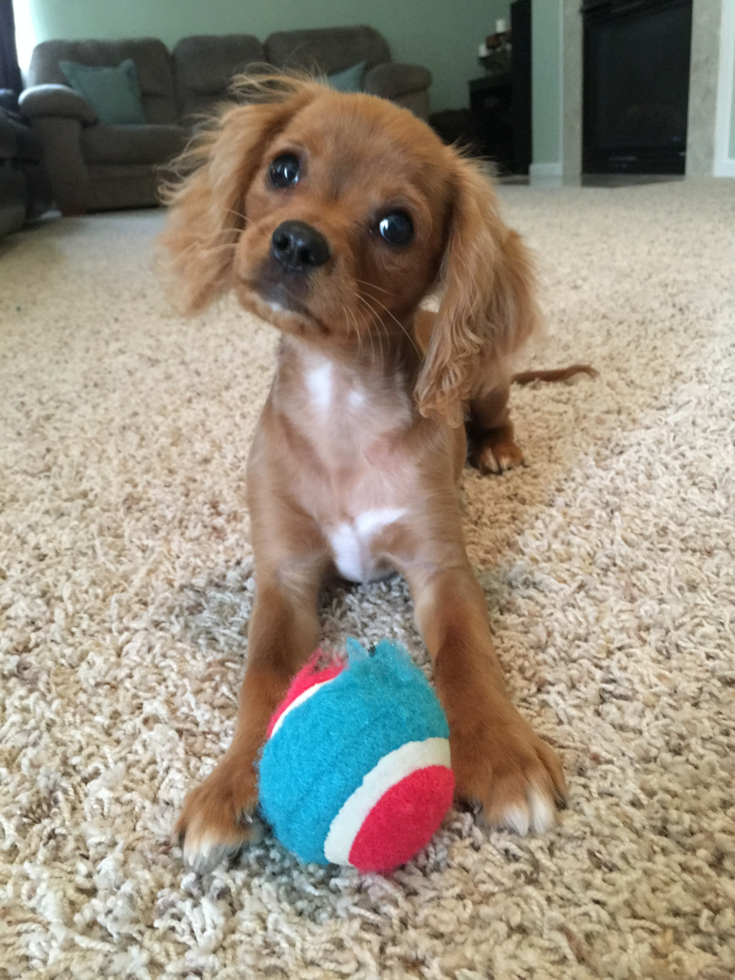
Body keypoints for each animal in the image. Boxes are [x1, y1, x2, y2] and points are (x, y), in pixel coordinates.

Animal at [162, 78, 568, 872]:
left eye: (395, 225)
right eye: (284, 169)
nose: (296, 241)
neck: (340, 400)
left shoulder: (441, 568)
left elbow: (467, 656)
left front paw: (504, 757)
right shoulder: (284, 576)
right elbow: (263, 678)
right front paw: (229, 785)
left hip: (487, 381)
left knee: (497, 413)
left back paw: (496, 449)